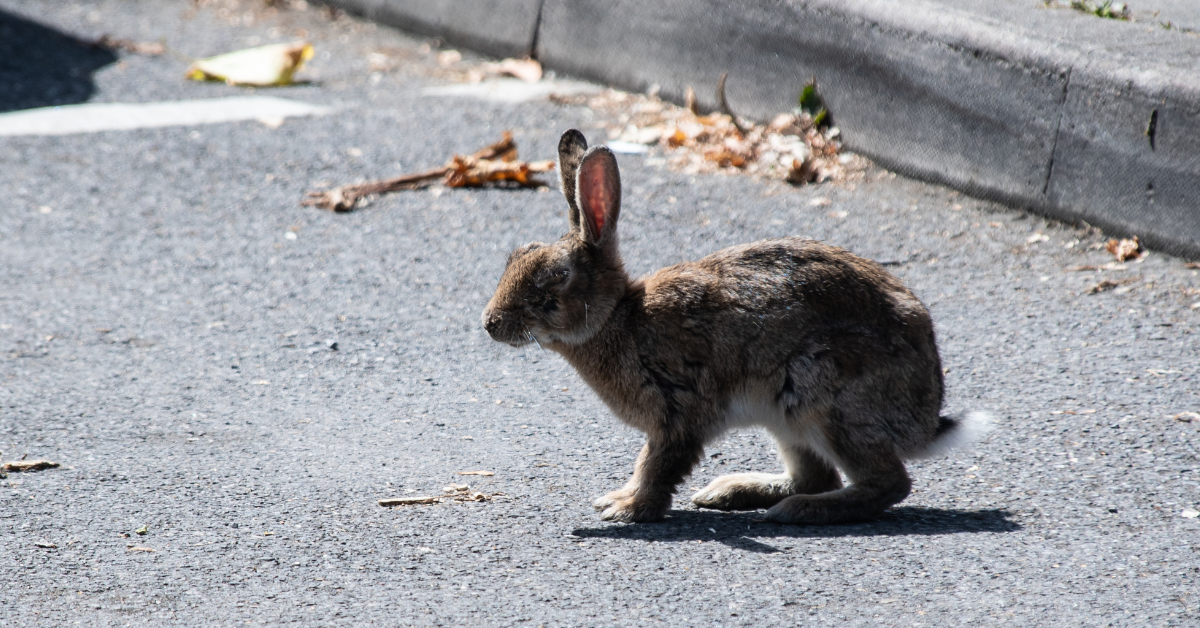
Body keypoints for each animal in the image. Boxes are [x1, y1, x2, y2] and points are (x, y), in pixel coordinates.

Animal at [482, 129, 988, 525]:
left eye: (555, 276)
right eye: (515, 257)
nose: (490, 323)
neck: (618, 317)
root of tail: (926, 417)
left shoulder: (678, 411)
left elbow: (657, 465)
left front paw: (626, 508)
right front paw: (622, 500)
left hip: (825, 399)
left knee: (889, 483)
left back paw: (800, 511)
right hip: (786, 416)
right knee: (818, 474)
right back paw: (731, 492)